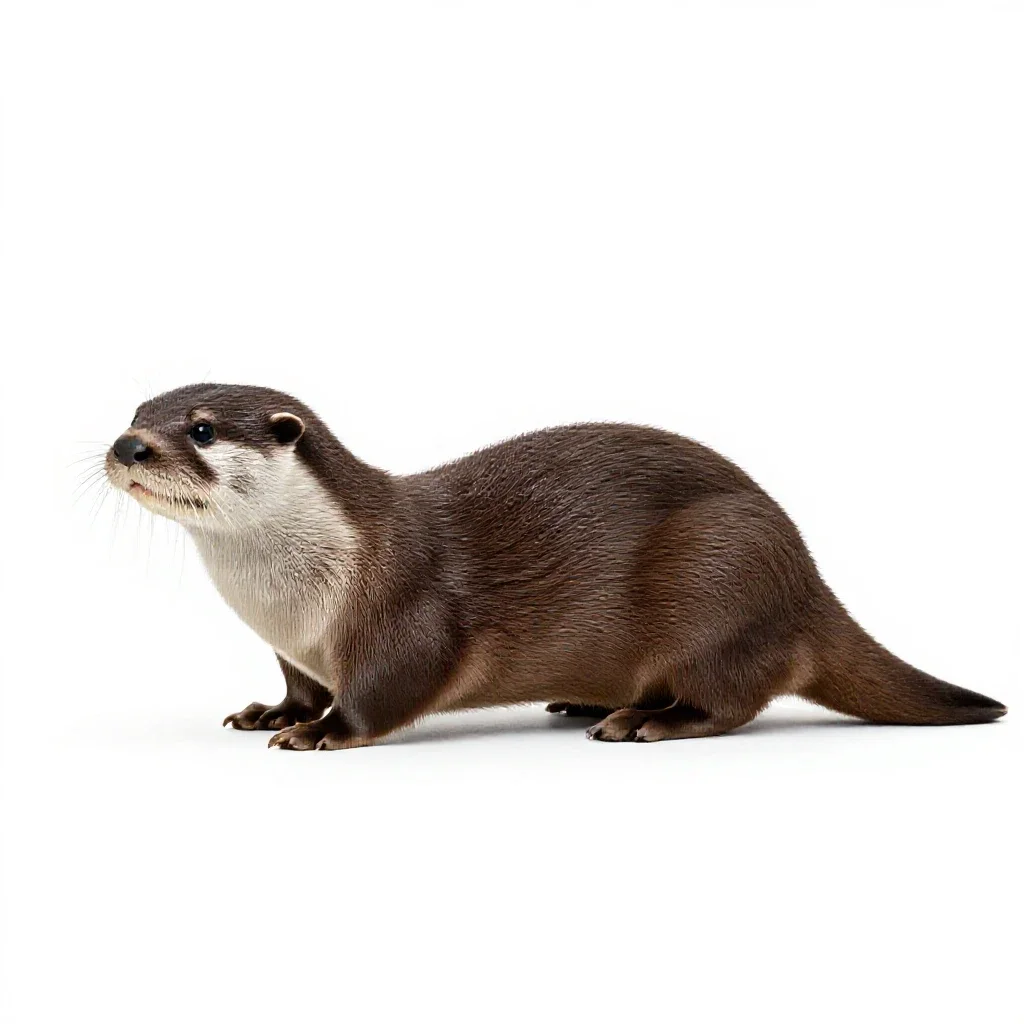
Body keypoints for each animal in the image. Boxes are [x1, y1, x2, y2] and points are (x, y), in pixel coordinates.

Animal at [104, 383, 1006, 750]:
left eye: (203, 429)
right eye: (136, 411)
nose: (128, 446)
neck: (295, 597)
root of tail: (808, 578)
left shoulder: (405, 609)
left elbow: (389, 687)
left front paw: (322, 731)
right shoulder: (294, 646)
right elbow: (298, 685)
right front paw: (272, 712)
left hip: (723, 566)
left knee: (733, 696)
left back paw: (648, 721)